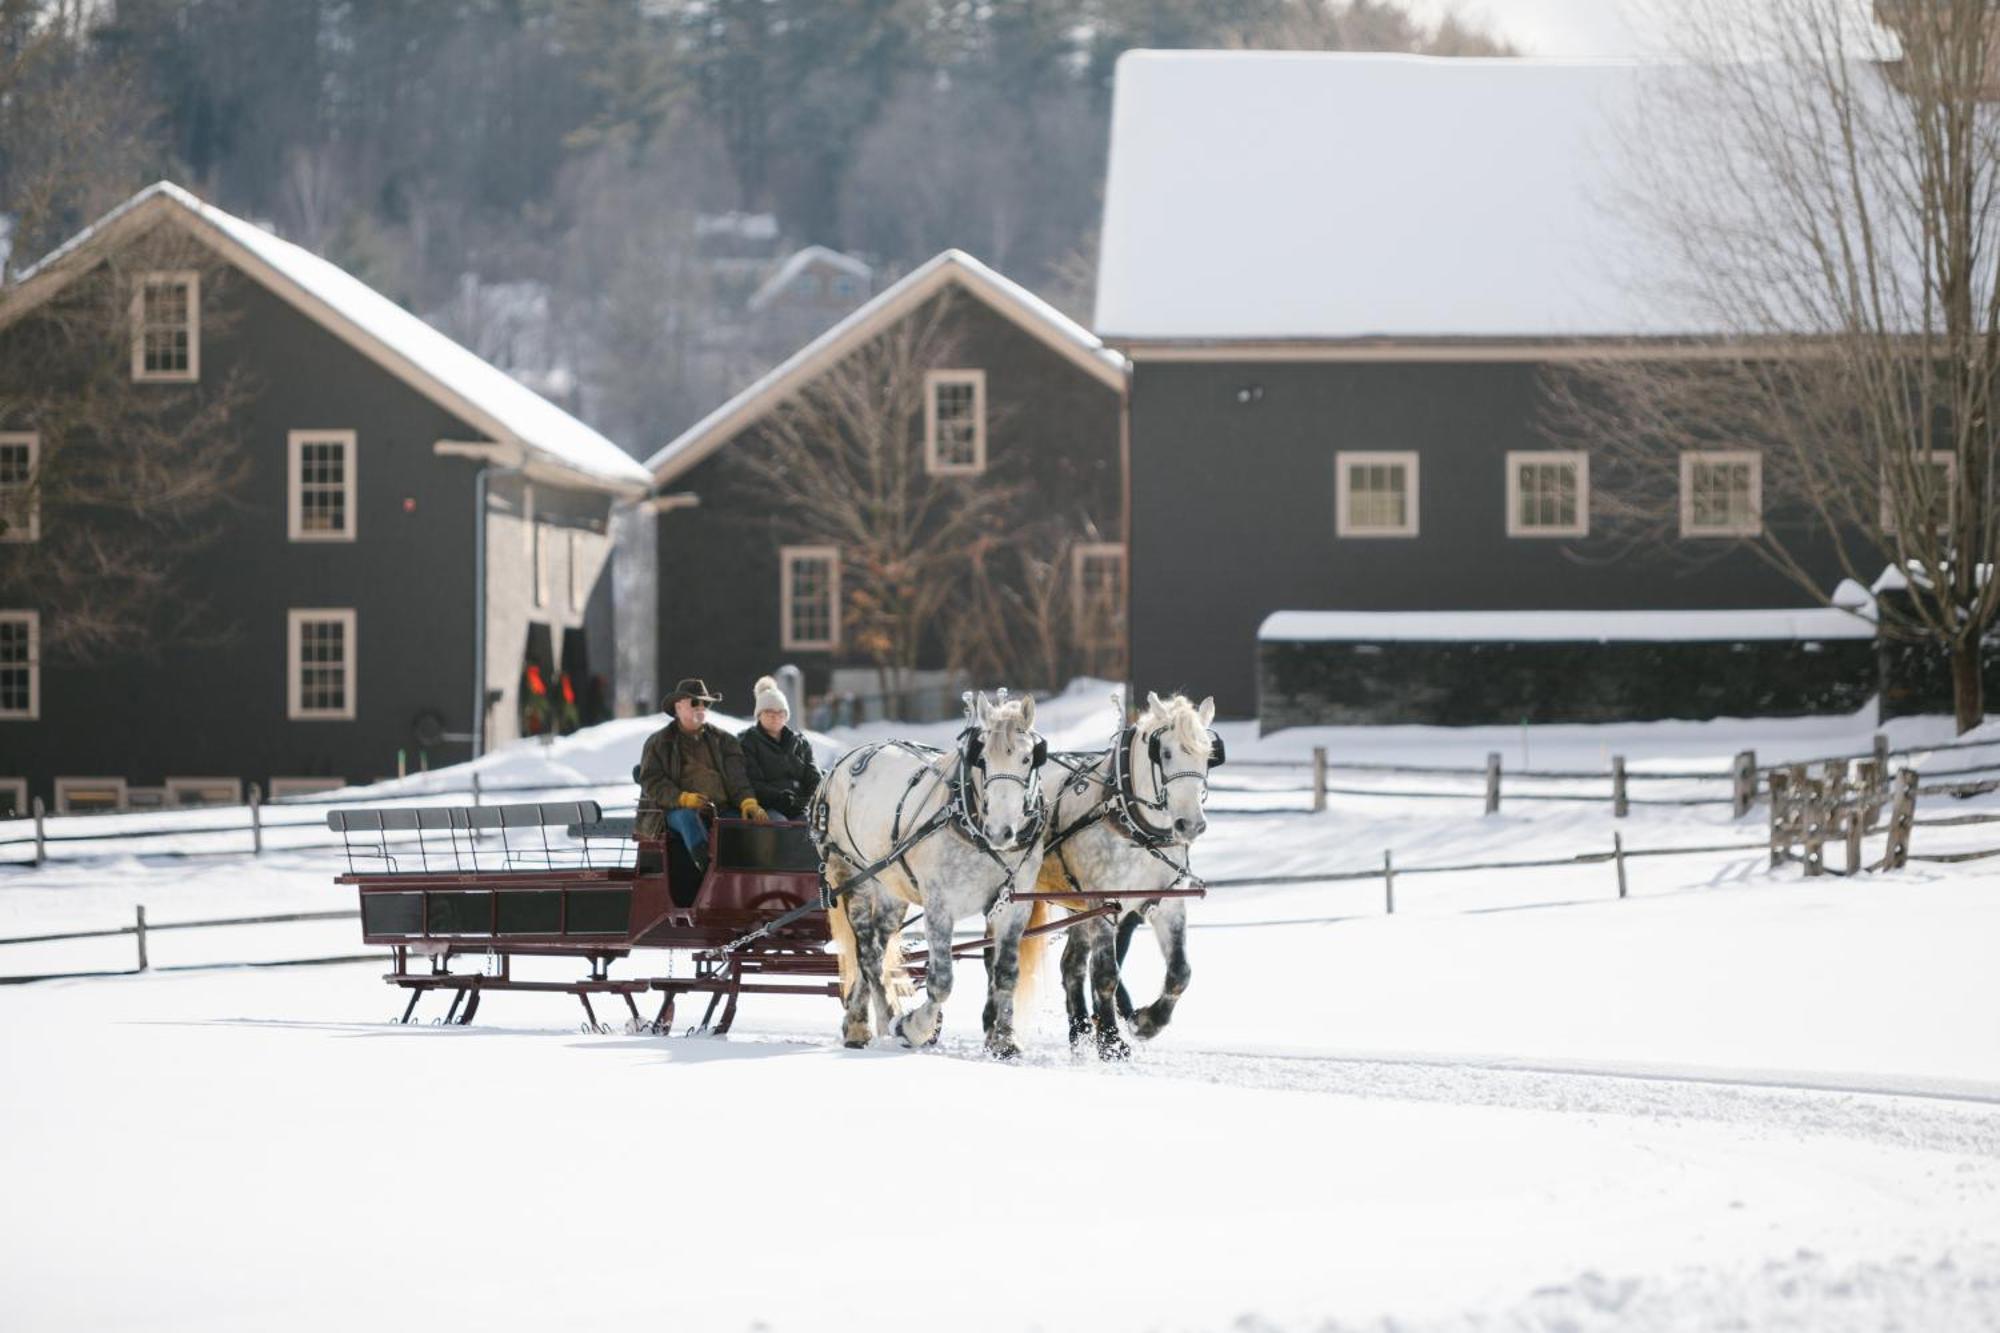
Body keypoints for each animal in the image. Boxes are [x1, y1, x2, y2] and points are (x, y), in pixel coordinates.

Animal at [820, 688, 1056, 1056]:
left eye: (1028, 758)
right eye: (982, 758)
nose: (1001, 832)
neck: (970, 822)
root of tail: (845, 760)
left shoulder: (1013, 904)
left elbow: (1006, 973)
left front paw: (1004, 1039)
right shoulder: (939, 905)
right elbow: (942, 981)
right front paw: (914, 1027)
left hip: (891, 888)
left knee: (874, 950)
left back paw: (862, 1023)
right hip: (849, 872)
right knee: (868, 952)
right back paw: (884, 1020)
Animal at [1032, 696, 1216, 1056]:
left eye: (1207, 755)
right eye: (1165, 753)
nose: (1191, 825)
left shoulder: (1166, 903)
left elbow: (1180, 973)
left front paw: (1147, 1022)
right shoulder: (1104, 901)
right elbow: (1105, 973)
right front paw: (1111, 1042)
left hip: (1076, 905)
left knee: (1071, 963)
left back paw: (1079, 1030)